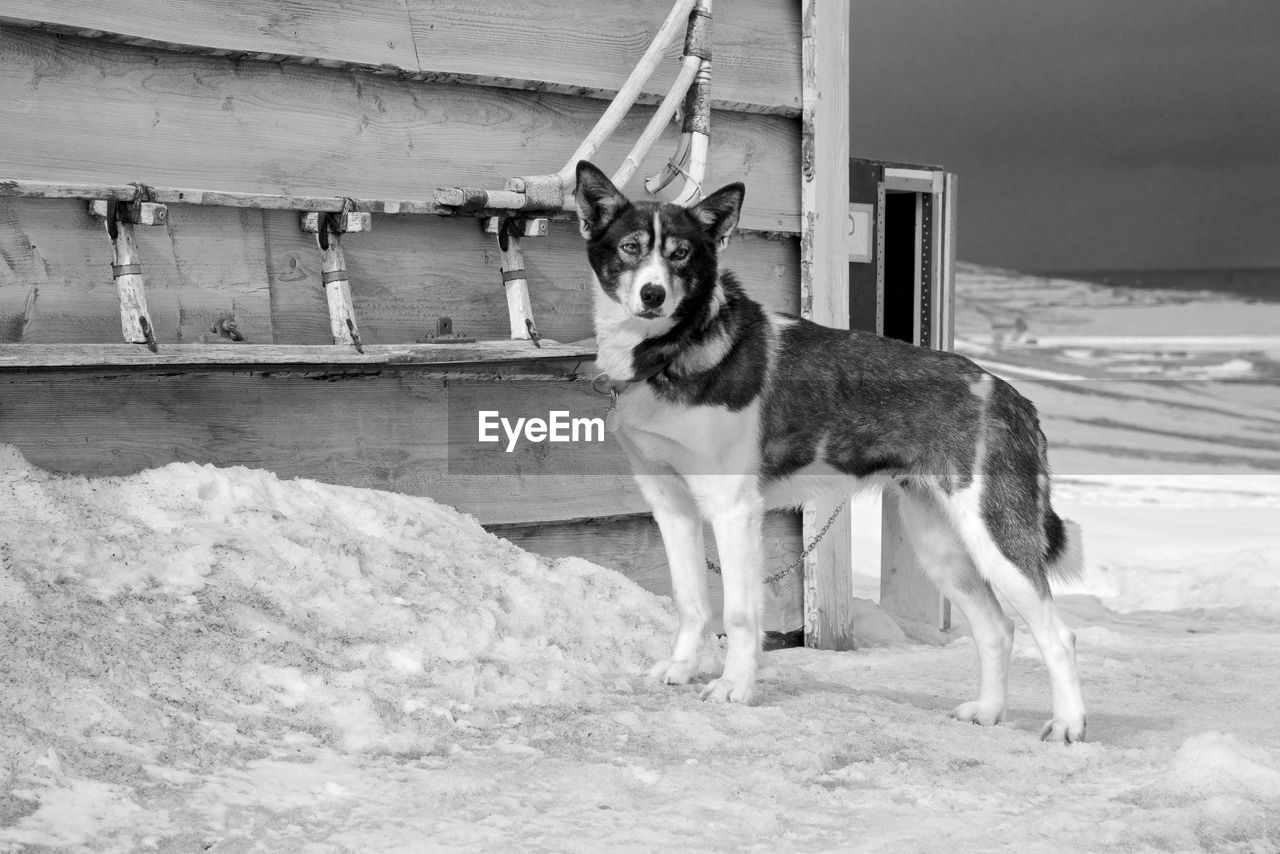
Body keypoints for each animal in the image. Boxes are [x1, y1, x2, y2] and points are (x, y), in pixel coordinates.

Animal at [576, 158, 1085, 742]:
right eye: (631, 248)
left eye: (680, 253)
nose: (653, 295)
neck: (673, 352)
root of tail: (1011, 396)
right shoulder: (672, 507)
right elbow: (690, 602)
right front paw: (682, 670)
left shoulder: (733, 511)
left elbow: (739, 615)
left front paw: (734, 688)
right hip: (942, 546)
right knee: (997, 628)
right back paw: (989, 711)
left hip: (996, 538)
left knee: (1056, 636)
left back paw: (1068, 725)